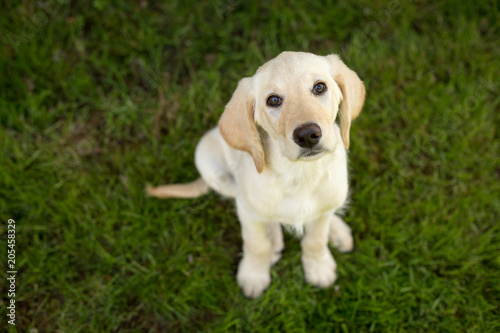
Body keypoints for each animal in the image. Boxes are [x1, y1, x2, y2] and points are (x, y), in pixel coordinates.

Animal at [146, 52, 366, 298]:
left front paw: (318, 267)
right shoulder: (247, 211)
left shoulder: (323, 210)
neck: (299, 173)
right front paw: (253, 275)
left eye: (320, 87)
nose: (307, 135)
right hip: (210, 164)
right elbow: (255, 243)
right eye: (273, 100)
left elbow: (315, 239)